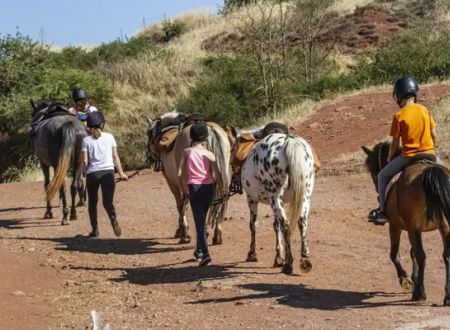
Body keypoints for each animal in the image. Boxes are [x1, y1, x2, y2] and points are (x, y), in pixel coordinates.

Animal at [149, 113, 232, 245]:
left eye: (149, 134)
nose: (148, 157)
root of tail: (210, 130)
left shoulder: (172, 183)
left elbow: (180, 204)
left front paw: (182, 231)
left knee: (188, 202)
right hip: (222, 178)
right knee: (221, 200)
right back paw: (216, 234)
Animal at [229, 130, 316, 274]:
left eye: (232, 150)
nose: (233, 184)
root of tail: (288, 141)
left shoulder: (252, 199)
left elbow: (253, 225)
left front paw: (252, 254)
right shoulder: (276, 202)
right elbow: (276, 226)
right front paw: (279, 257)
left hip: (275, 196)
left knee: (286, 224)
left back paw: (289, 264)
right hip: (305, 195)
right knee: (302, 221)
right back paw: (304, 258)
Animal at [362, 142, 450, 306]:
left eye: (373, 170)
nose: (377, 189)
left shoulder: (396, 225)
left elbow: (395, 254)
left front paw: (406, 281)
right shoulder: (414, 229)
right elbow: (412, 252)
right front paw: (414, 279)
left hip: (413, 226)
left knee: (422, 256)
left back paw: (419, 294)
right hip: (444, 226)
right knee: (446, 255)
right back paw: (447, 296)